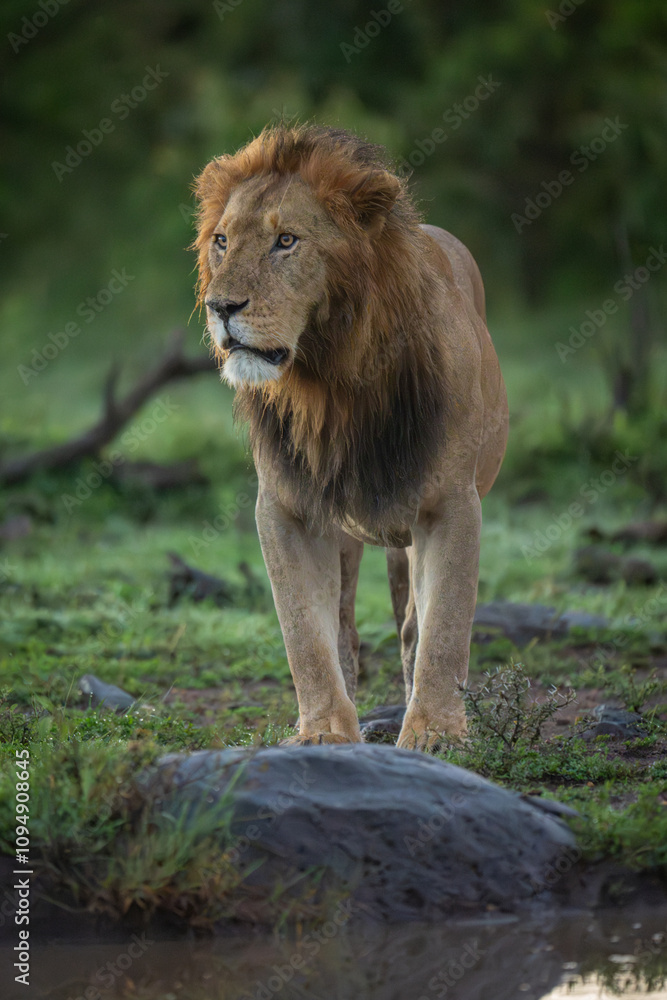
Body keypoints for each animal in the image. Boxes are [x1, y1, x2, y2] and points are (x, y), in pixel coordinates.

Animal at [193, 124, 508, 750]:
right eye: (221, 241)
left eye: (286, 241)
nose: (221, 307)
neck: (333, 384)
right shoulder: (286, 508)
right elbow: (304, 636)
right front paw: (323, 734)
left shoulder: (451, 504)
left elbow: (446, 628)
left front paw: (436, 734)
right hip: (343, 530)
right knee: (343, 629)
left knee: (411, 627)